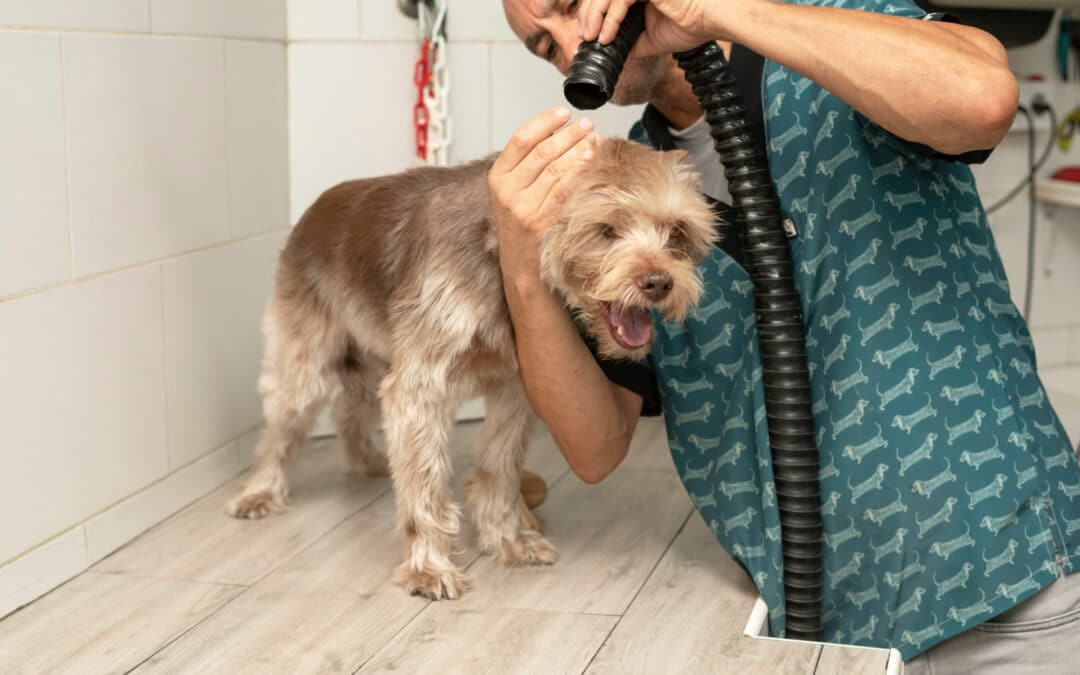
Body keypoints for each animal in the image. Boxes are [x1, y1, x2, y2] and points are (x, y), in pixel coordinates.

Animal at [226, 134, 717, 596]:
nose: (659, 282)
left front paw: (508, 540)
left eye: (677, 231)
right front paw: (429, 566)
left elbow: (499, 468)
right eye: (606, 229)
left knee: (352, 406)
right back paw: (259, 492)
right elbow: (424, 485)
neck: (499, 256)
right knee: (282, 427)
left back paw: (366, 460)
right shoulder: (419, 385)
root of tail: (315, 208)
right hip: (305, 357)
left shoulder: (513, 389)